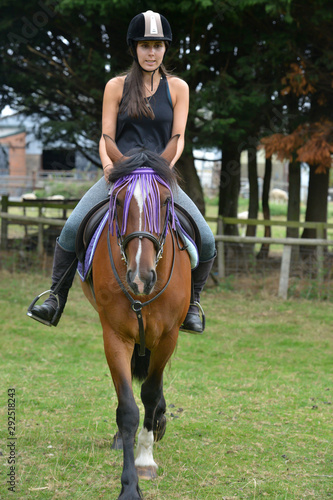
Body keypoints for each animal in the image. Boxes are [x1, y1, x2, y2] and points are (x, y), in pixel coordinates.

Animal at [80, 135, 191, 498]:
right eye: (117, 202)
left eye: (166, 201)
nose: (141, 278)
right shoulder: (115, 335)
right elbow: (128, 407)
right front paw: (129, 484)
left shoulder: (169, 336)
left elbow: (151, 394)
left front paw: (146, 460)